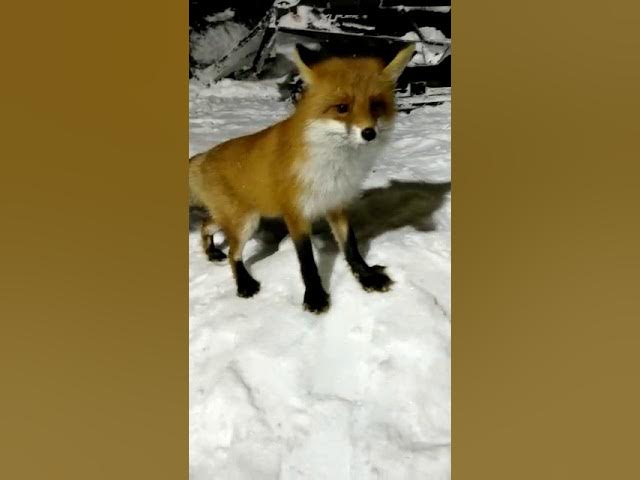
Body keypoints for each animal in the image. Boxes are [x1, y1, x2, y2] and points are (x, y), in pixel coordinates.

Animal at [189, 43, 416, 313]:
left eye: (375, 106)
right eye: (342, 108)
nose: (369, 133)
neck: (333, 164)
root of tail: (204, 156)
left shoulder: (336, 204)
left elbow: (351, 247)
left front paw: (366, 276)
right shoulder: (296, 213)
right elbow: (307, 261)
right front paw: (315, 296)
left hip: (237, 218)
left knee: (207, 225)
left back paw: (211, 252)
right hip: (245, 222)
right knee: (234, 253)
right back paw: (244, 283)